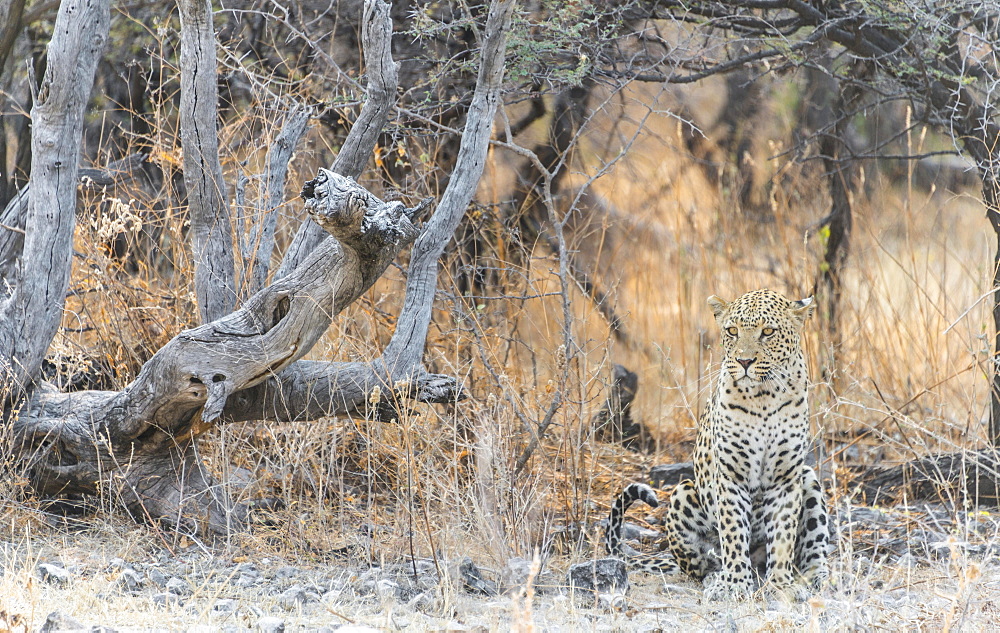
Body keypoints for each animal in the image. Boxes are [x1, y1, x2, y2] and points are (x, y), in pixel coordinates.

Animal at [604, 288, 832, 600]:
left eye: (768, 332)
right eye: (732, 331)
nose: (744, 362)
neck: (764, 396)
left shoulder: (786, 479)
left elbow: (783, 537)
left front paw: (781, 585)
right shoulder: (730, 476)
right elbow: (734, 532)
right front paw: (735, 584)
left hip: (808, 479)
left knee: (813, 550)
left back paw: (816, 577)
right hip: (683, 493)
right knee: (701, 564)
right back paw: (718, 578)